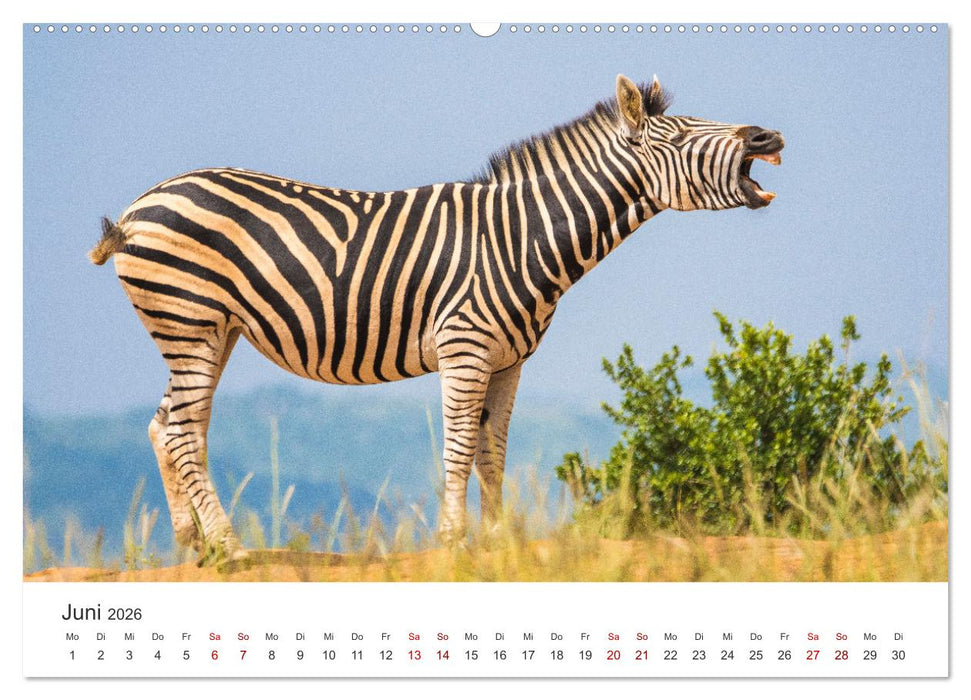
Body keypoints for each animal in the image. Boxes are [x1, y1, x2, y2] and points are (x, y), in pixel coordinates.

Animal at [89, 74, 783, 562]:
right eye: (683, 136)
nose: (768, 138)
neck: (522, 237)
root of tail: (138, 206)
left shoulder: (508, 361)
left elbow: (492, 450)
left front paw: (499, 541)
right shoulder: (464, 348)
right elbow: (457, 447)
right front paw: (454, 541)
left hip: (210, 328)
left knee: (167, 425)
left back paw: (195, 546)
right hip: (190, 319)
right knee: (182, 430)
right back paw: (231, 548)